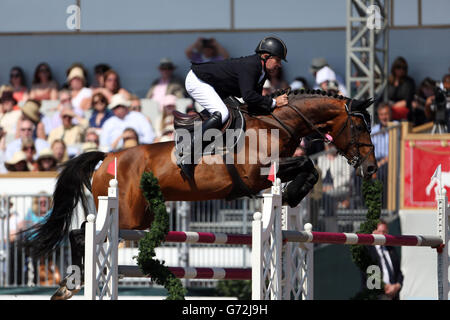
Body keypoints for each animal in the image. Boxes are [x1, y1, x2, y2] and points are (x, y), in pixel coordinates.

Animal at [24, 87, 376, 298]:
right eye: (360, 126)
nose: (371, 168)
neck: (277, 124)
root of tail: (106, 157)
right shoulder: (256, 175)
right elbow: (306, 163)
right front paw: (291, 194)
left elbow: (310, 168)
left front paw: (292, 195)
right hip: (123, 213)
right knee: (81, 235)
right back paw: (73, 285)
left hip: (137, 218)